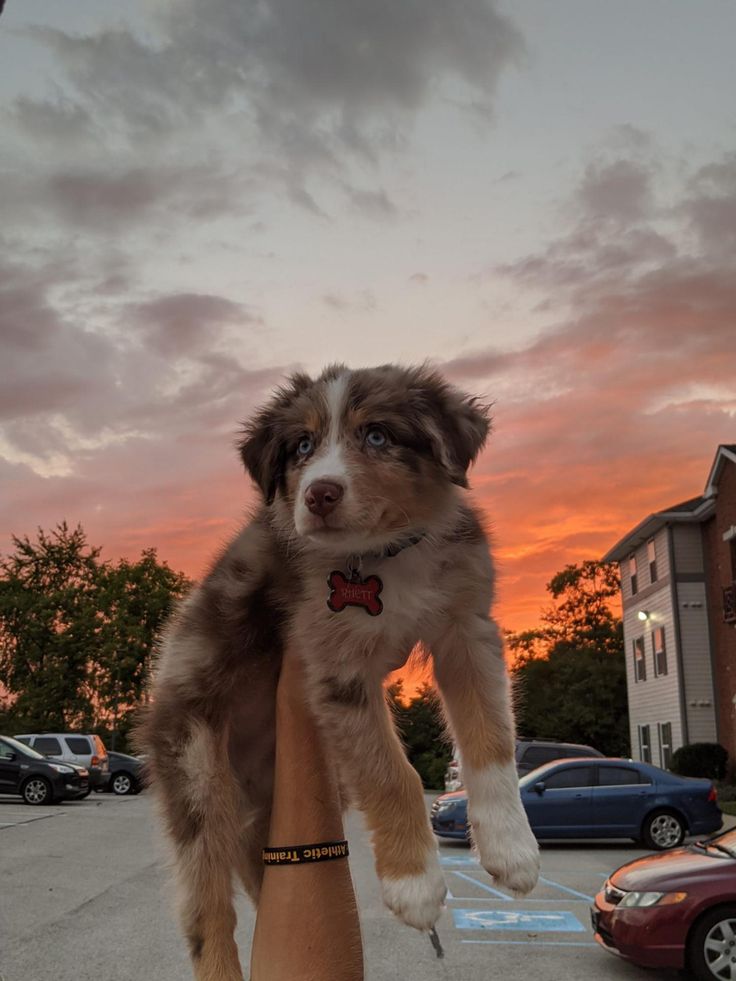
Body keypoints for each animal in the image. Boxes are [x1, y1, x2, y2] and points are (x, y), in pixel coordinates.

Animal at [139, 364, 540, 980]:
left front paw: (511, 849)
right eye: (302, 445)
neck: (385, 554)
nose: (319, 493)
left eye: (377, 435)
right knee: (208, 921)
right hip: (196, 777)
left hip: (262, 806)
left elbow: (491, 740)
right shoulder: (335, 662)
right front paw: (415, 884)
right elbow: (392, 771)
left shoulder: (468, 630)